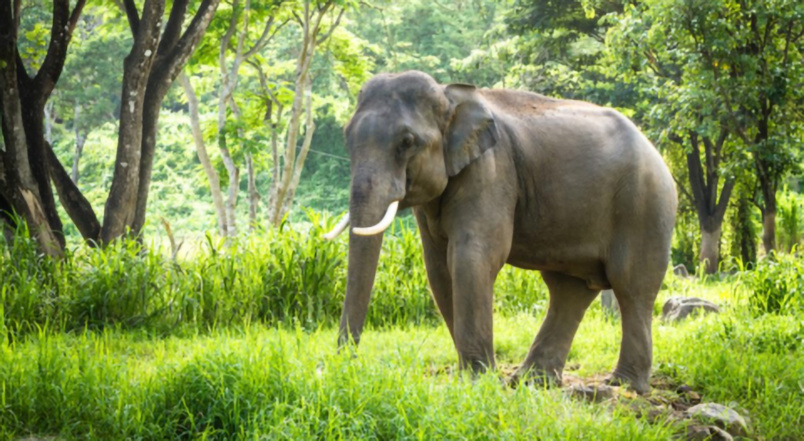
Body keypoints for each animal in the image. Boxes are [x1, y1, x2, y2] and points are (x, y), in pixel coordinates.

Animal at [324, 71, 676, 392]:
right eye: (345, 136)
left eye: (407, 142)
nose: (348, 366)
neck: (449, 94)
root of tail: (655, 150)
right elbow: (438, 269)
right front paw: (476, 376)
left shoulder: (492, 170)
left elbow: (472, 257)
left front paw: (478, 380)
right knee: (569, 290)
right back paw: (532, 381)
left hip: (645, 206)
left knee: (631, 286)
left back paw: (623, 385)